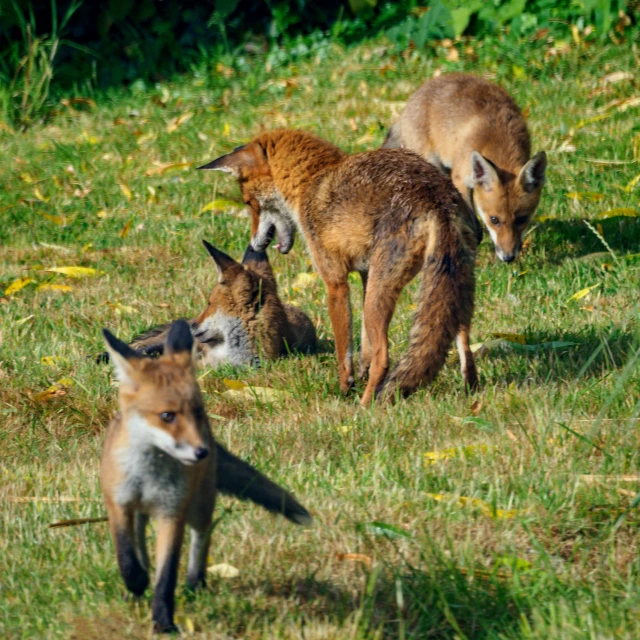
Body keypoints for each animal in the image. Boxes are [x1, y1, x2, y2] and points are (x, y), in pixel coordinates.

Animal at [99, 322, 312, 632]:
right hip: (141, 514)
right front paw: (136, 583)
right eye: (167, 416)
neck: (149, 477)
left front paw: (164, 622)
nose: (202, 452)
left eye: (198, 412)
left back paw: (194, 584)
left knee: (202, 537)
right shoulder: (118, 503)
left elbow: (166, 576)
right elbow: (126, 556)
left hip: (199, 506)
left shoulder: (172, 512)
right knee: (140, 545)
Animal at [198, 129, 482, 404]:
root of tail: (435, 196)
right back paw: (470, 391)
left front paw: (346, 386)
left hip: (380, 294)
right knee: (461, 340)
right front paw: (361, 373)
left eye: (249, 203)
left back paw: (366, 405)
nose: (253, 246)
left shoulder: (335, 282)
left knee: (384, 357)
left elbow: (344, 348)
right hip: (452, 285)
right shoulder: (366, 274)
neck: (311, 181)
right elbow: (365, 346)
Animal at [382, 74, 548, 262]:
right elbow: (472, 224)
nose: (508, 257)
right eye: (494, 220)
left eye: (521, 219)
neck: (499, 139)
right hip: (431, 164)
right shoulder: (461, 179)